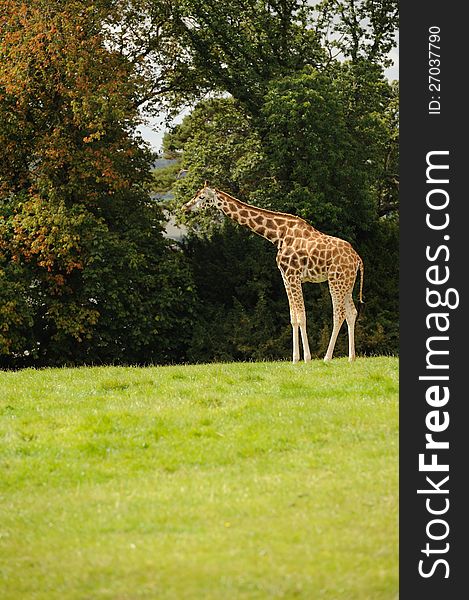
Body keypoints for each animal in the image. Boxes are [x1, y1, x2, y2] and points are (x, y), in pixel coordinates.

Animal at [181, 184, 364, 360]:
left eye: (202, 197)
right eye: (196, 194)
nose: (185, 207)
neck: (278, 235)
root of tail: (357, 259)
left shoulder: (293, 275)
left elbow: (301, 316)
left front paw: (307, 358)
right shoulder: (285, 277)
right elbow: (293, 318)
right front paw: (295, 359)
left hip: (336, 280)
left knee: (339, 314)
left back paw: (327, 358)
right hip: (346, 282)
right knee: (352, 312)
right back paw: (351, 358)